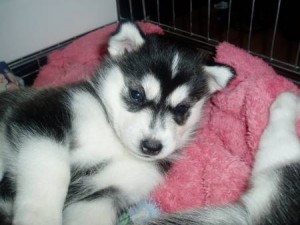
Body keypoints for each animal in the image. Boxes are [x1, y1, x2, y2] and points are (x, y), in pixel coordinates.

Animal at [0, 21, 234, 225]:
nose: (151, 147)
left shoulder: (101, 194)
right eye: (137, 94)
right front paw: (38, 217)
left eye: (182, 109)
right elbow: (51, 170)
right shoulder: (44, 114)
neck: (116, 143)